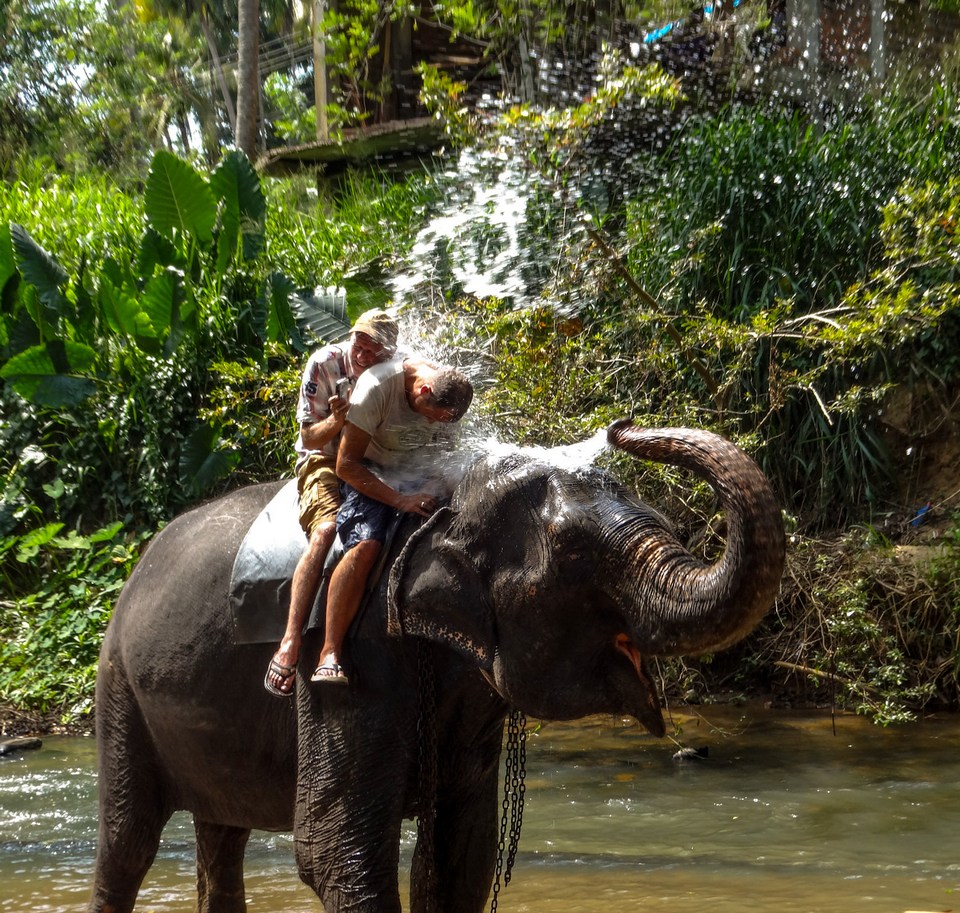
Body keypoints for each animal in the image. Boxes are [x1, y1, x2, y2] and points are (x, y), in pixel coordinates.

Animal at [88, 420, 788, 912]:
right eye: (573, 557)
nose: (620, 428)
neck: (445, 500)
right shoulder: (349, 652)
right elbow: (334, 849)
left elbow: (460, 858)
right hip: (119, 684)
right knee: (129, 842)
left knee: (221, 834)